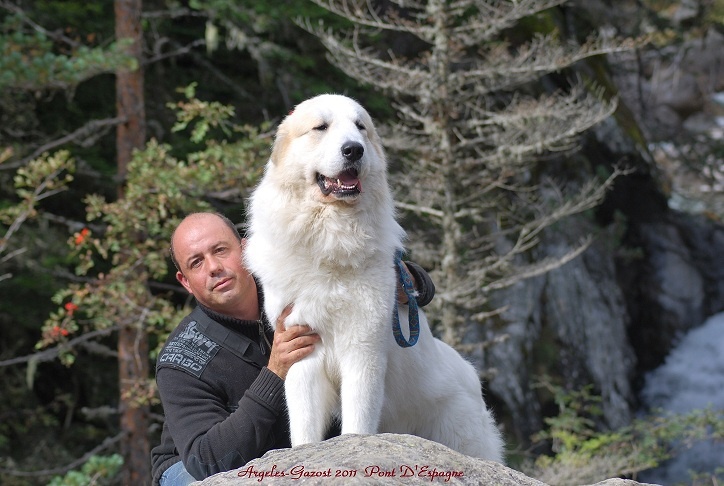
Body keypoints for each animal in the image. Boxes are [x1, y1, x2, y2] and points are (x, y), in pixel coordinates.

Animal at [244, 94, 503, 461]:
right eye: (320, 127)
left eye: (360, 127)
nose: (354, 149)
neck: (330, 238)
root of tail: (470, 374)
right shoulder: (302, 351)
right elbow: (304, 425)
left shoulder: (363, 350)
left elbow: (357, 421)